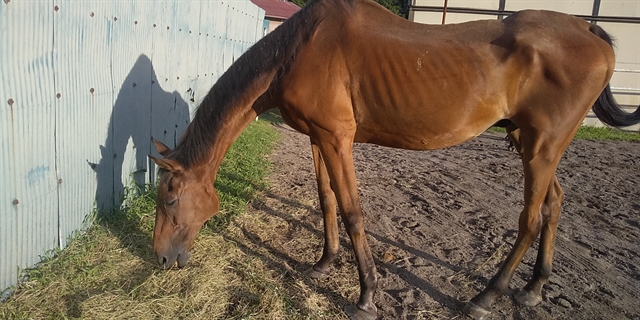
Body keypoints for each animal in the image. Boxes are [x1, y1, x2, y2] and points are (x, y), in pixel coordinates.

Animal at [148, 0, 640, 318]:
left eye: (169, 201)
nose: (162, 260)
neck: (297, 51)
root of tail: (589, 31)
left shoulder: (337, 139)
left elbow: (352, 211)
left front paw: (367, 295)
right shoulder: (317, 138)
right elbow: (326, 200)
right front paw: (323, 263)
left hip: (542, 147)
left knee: (531, 219)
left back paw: (484, 298)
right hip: (532, 144)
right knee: (554, 204)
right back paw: (534, 289)